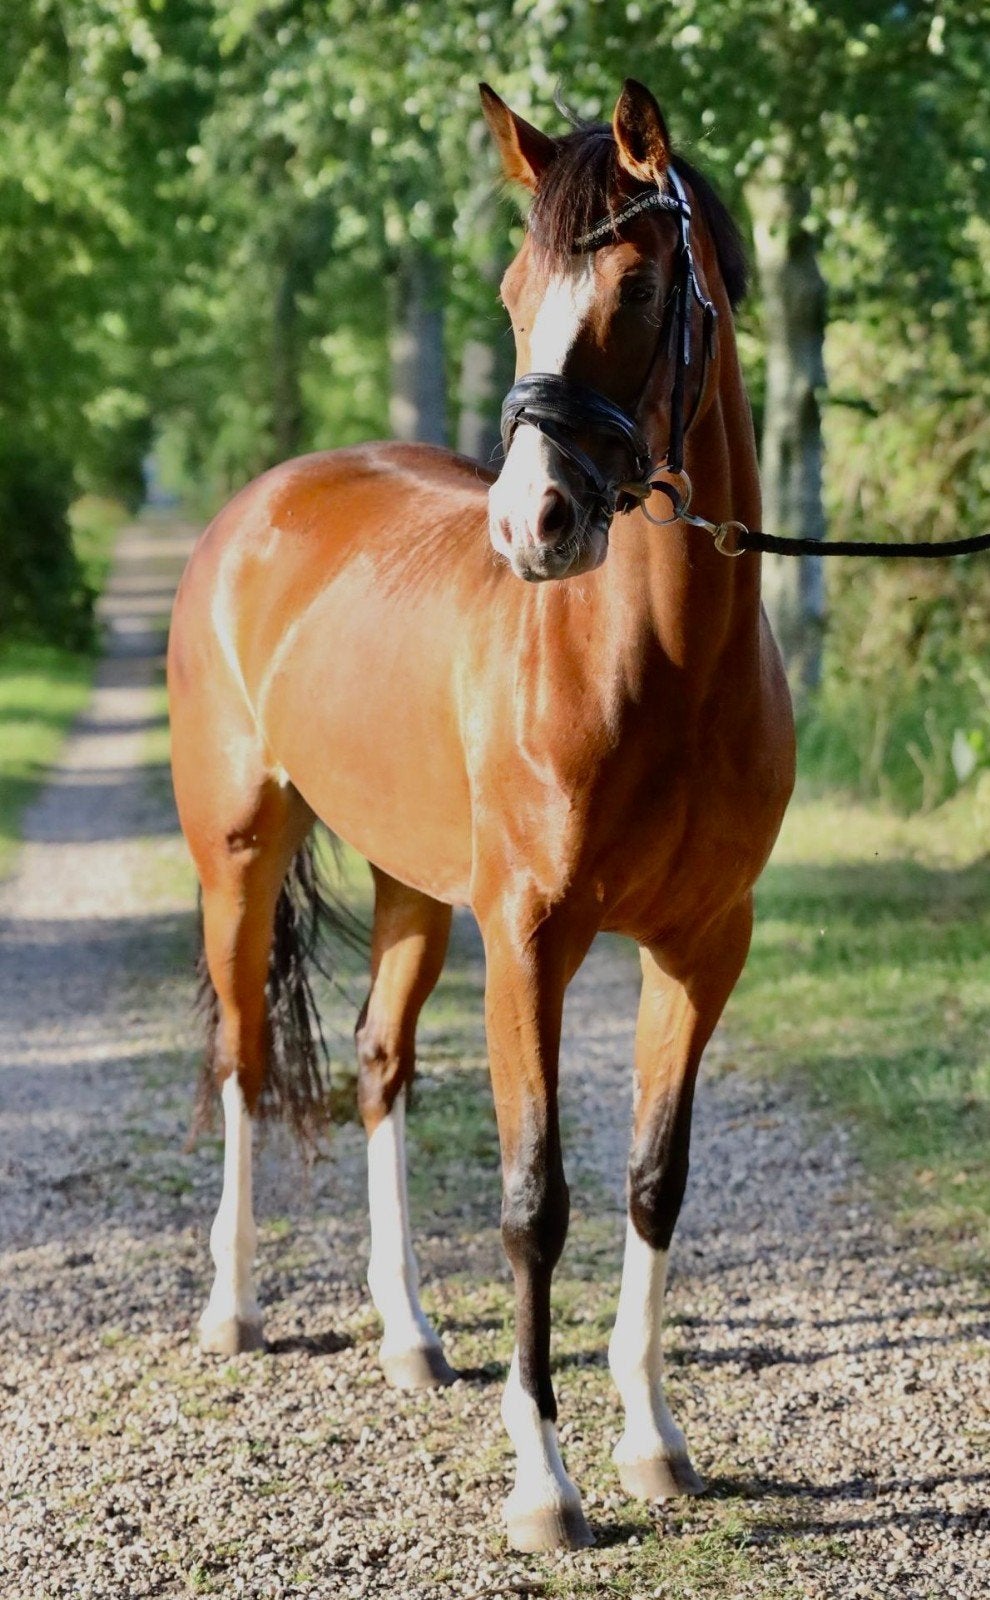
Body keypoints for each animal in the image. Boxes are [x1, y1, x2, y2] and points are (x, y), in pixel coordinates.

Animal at [167, 78, 795, 1553]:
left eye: (639, 284)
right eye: (513, 289)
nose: (533, 526)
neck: (660, 669)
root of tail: (260, 508)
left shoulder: (703, 947)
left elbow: (652, 1180)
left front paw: (655, 1442)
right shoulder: (530, 944)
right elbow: (534, 1202)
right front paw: (544, 1484)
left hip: (414, 889)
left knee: (378, 1067)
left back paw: (406, 1332)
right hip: (238, 852)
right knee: (241, 1059)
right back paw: (235, 1309)